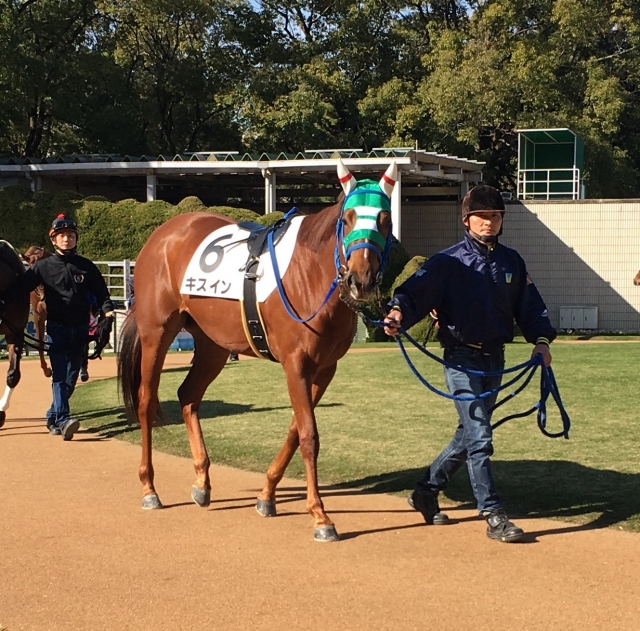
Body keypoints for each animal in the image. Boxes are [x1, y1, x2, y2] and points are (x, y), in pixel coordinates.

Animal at [115, 160, 396, 540]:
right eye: (349, 218)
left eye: (384, 219)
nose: (360, 279)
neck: (309, 275)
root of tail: (164, 233)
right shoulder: (296, 364)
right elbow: (309, 435)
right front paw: (320, 515)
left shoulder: (324, 369)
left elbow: (295, 431)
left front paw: (266, 495)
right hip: (156, 333)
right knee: (147, 401)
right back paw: (149, 488)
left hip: (213, 344)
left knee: (188, 395)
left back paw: (202, 481)